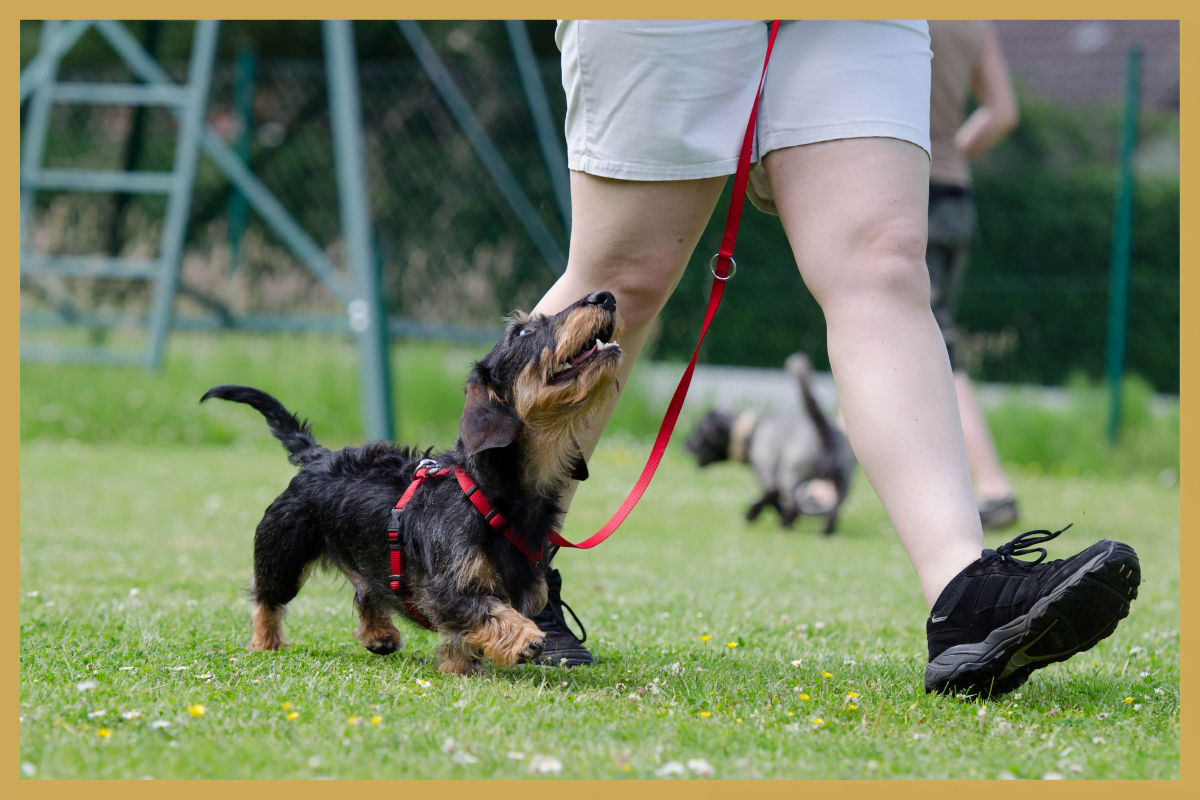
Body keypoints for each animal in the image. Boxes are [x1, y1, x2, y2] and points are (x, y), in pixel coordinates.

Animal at [201, 291, 624, 671]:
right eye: (522, 331)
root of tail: (319, 456)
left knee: (366, 591)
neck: (489, 494)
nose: (605, 296)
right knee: (266, 599)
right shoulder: (446, 590)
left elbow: (469, 634)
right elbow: (488, 611)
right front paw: (523, 638)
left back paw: (379, 634)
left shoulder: (526, 589)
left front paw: (460, 666)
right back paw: (265, 642)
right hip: (283, 553)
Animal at [686, 352, 854, 534]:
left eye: (698, 432)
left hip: (791, 474)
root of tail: (824, 429)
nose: (685, 444)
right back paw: (826, 532)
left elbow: (771, 498)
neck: (751, 432)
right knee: (835, 509)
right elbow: (773, 499)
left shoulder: (768, 476)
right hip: (843, 482)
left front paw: (752, 514)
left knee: (793, 502)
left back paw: (784, 524)